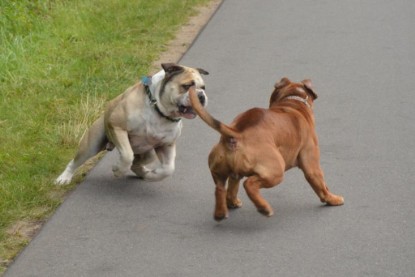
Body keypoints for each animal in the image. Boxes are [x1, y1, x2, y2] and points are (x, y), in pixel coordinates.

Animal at [189, 77, 344, 220]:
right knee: (249, 184)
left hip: (220, 170)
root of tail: (237, 133)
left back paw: (222, 212)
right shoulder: (312, 165)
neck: (293, 101)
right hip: (276, 171)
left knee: (221, 188)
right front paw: (333, 199)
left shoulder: (233, 174)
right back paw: (264, 208)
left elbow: (232, 186)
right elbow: (322, 186)